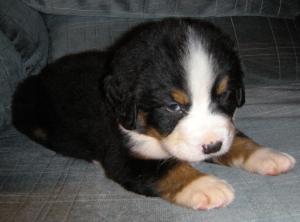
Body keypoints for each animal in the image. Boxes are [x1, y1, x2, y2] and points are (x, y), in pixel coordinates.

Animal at [12, 18, 296, 211]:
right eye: (173, 107)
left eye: (224, 95)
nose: (212, 146)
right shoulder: (123, 157)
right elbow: (168, 169)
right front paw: (206, 186)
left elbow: (237, 138)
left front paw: (265, 155)